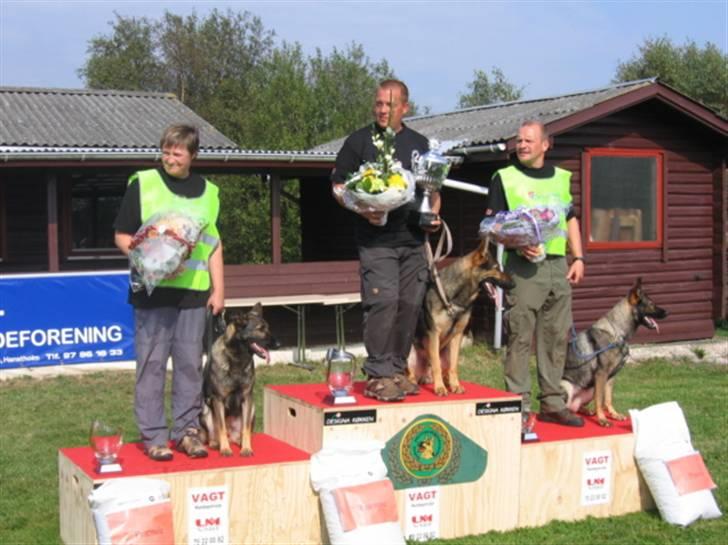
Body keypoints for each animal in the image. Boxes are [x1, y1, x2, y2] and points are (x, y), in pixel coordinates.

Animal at [200, 302, 280, 454]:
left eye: (268, 327)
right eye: (260, 329)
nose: (279, 344)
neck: (237, 359)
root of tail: (232, 436)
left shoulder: (247, 398)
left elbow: (246, 429)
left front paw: (246, 448)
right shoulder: (218, 399)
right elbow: (221, 427)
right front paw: (225, 449)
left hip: (252, 408)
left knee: (241, 432)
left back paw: (239, 442)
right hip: (206, 410)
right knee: (215, 435)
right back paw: (217, 444)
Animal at [406, 238, 516, 396]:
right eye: (496, 268)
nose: (514, 284)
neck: (454, 297)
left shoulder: (457, 335)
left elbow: (454, 366)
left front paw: (455, 385)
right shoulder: (433, 334)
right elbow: (436, 365)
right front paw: (440, 388)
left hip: (445, 353)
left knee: (443, 369)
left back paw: (444, 381)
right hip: (410, 354)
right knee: (413, 373)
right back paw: (414, 384)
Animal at [564, 278, 672, 428]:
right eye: (651, 304)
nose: (668, 312)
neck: (618, 331)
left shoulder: (610, 376)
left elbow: (607, 399)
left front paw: (614, 415)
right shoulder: (601, 374)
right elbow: (600, 400)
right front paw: (602, 419)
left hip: (591, 389)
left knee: (577, 407)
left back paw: (586, 411)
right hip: (568, 386)